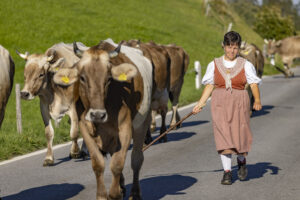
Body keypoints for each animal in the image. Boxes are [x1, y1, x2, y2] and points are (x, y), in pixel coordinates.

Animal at [51, 38, 152, 199]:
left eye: (109, 79)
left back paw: (134, 193)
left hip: (142, 123)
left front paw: (115, 194)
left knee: (136, 159)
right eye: (82, 78)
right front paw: (103, 195)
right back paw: (122, 186)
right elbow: (98, 164)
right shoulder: (85, 129)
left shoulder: (124, 129)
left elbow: (117, 164)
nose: (97, 114)